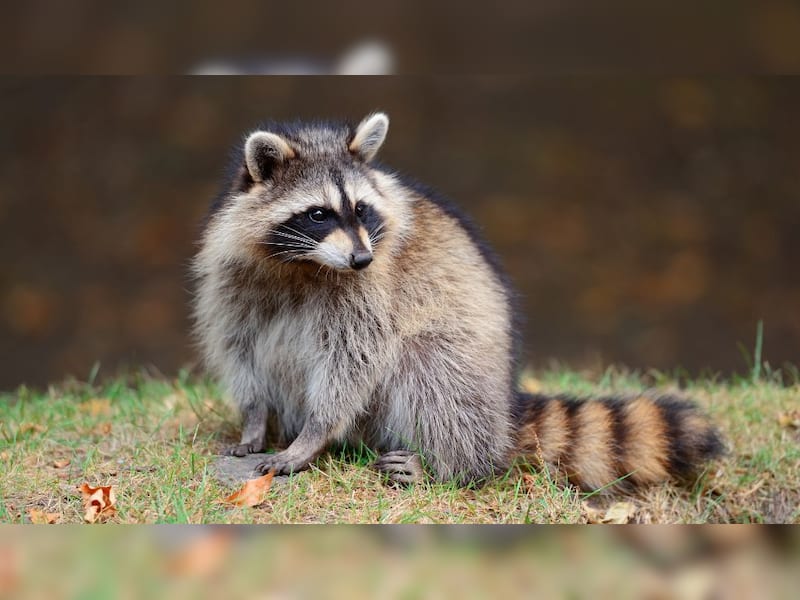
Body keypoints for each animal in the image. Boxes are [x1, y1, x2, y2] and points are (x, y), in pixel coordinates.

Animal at [192, 112, 724, 490]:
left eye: (361, 209)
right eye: (318, 213)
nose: (362, 257)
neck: (304, 264)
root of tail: (505, 406)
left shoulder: (371, 291)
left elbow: (353, 361)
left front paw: (313, 435)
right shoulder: (233, 277)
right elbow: (239, 347)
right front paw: (254, 419)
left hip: (467, 363)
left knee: (432, 371)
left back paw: (451, 465)